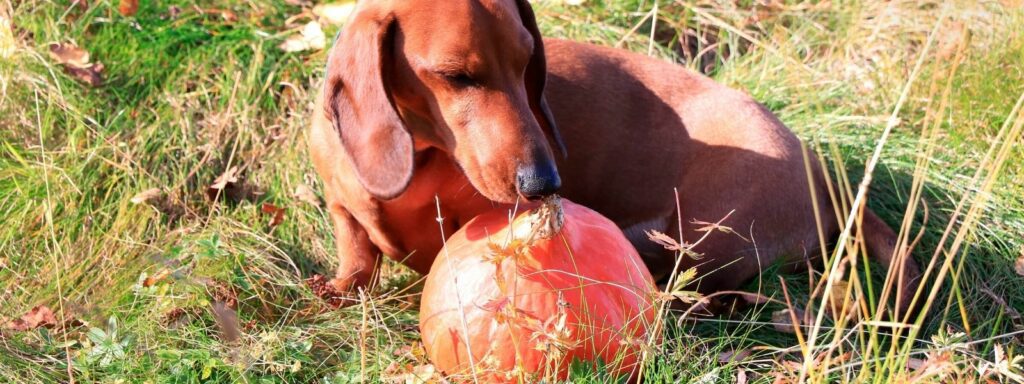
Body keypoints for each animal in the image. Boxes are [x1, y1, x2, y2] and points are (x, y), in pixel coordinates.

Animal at [307, 0, 925, 319]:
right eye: (457, 77)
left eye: (529, 65)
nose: (545, 183)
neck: (425, 154)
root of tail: (823, 172)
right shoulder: (343, 210)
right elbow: (357, 254)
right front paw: (339, 287)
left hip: (710, 235)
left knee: (716, 292)